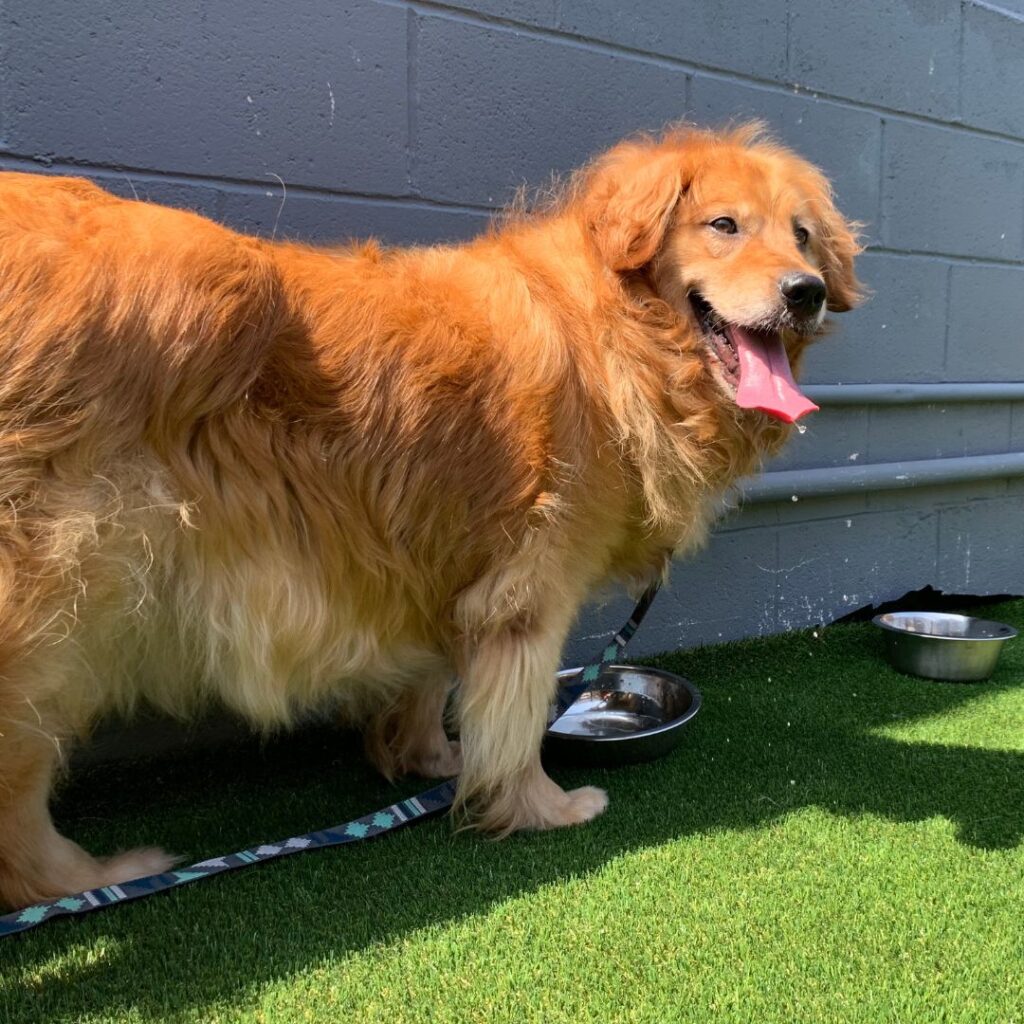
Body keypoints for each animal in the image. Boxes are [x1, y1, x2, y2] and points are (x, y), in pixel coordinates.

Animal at [0, 123, 860, 909]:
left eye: (802, 236)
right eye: (724, 225)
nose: (806, 292)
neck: (614, 328)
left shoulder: (439, 554)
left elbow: (433, 677)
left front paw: (432, 763)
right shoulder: (532, 587)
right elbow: (516, 718)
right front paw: (538, 805)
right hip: (64, 606)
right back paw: (89, 879)